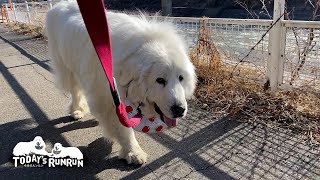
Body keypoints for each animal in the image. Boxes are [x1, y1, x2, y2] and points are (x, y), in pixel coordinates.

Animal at [44, 1, 196, 165]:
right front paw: (133, 152)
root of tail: (60, 4)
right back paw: (77, 110)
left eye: (181, 78)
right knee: (75, 91)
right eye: (160, 80)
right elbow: (122, 129)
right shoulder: (110, 99)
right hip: (67, 68)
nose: (179, 109)